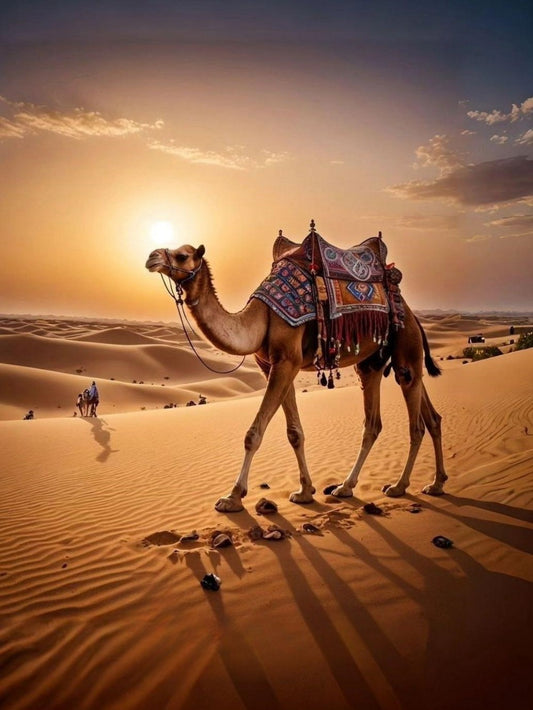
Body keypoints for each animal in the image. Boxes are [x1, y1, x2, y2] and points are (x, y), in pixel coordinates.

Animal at [145, 230, 447, 513]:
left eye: (182, 255)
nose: (151, 257)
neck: (261, 317)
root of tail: (413, 315)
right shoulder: (274, 366)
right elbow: (295, 433)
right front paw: (305, 491)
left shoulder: (287, 361)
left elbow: (253, 434)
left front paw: (232, 497)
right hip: (374, 362)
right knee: (404, 419)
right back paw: (418, 484)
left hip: (405, 343)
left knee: (415, 423)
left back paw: (398, 486)